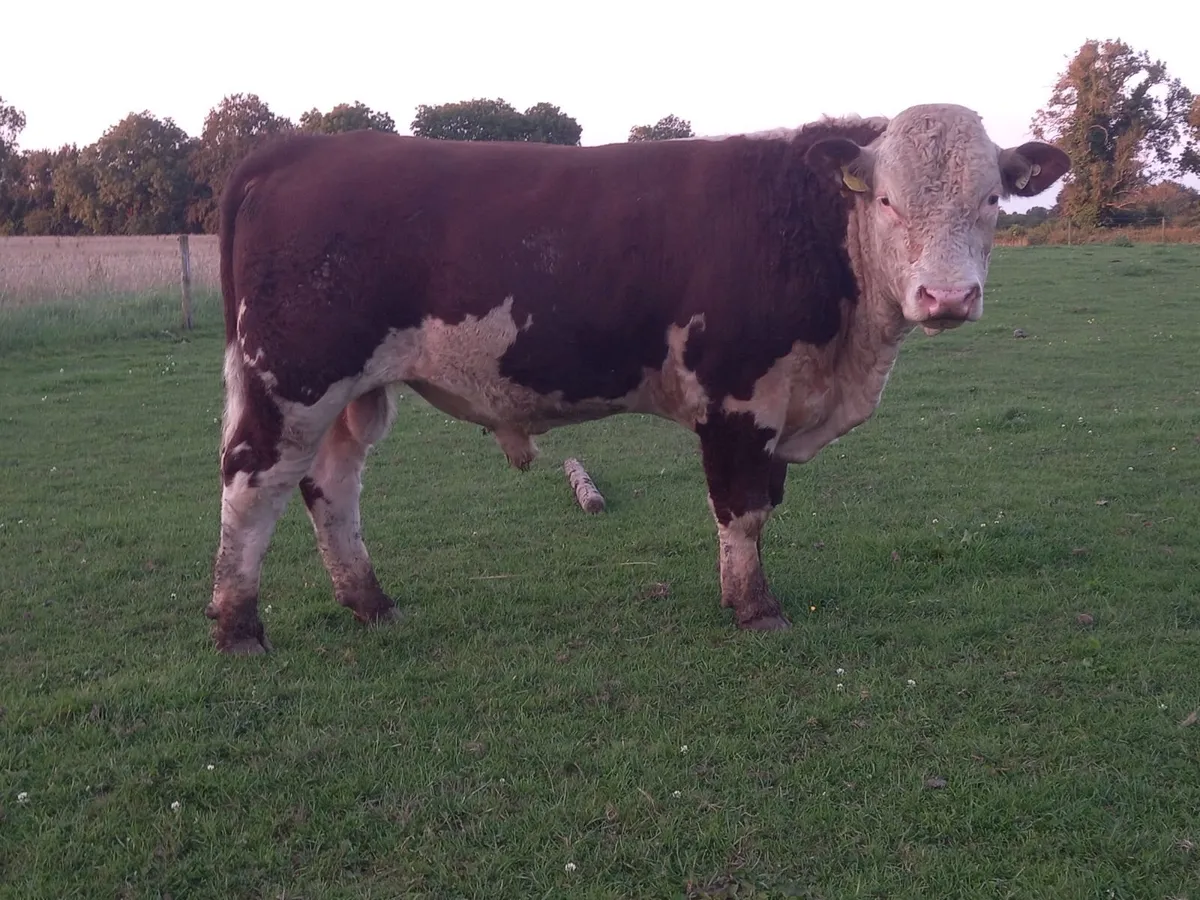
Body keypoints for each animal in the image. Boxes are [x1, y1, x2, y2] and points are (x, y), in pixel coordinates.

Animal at [206, 103, 1069, 654]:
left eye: (992, 199)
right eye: (887, 201)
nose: (947, 298)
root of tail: (297, 149)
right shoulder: (736, 395)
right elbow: (743, 510)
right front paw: (755, 611)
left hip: (348, 393)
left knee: (330, 486)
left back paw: (371, 604)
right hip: (295, 376)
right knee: (252, 485)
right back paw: (238, 627)